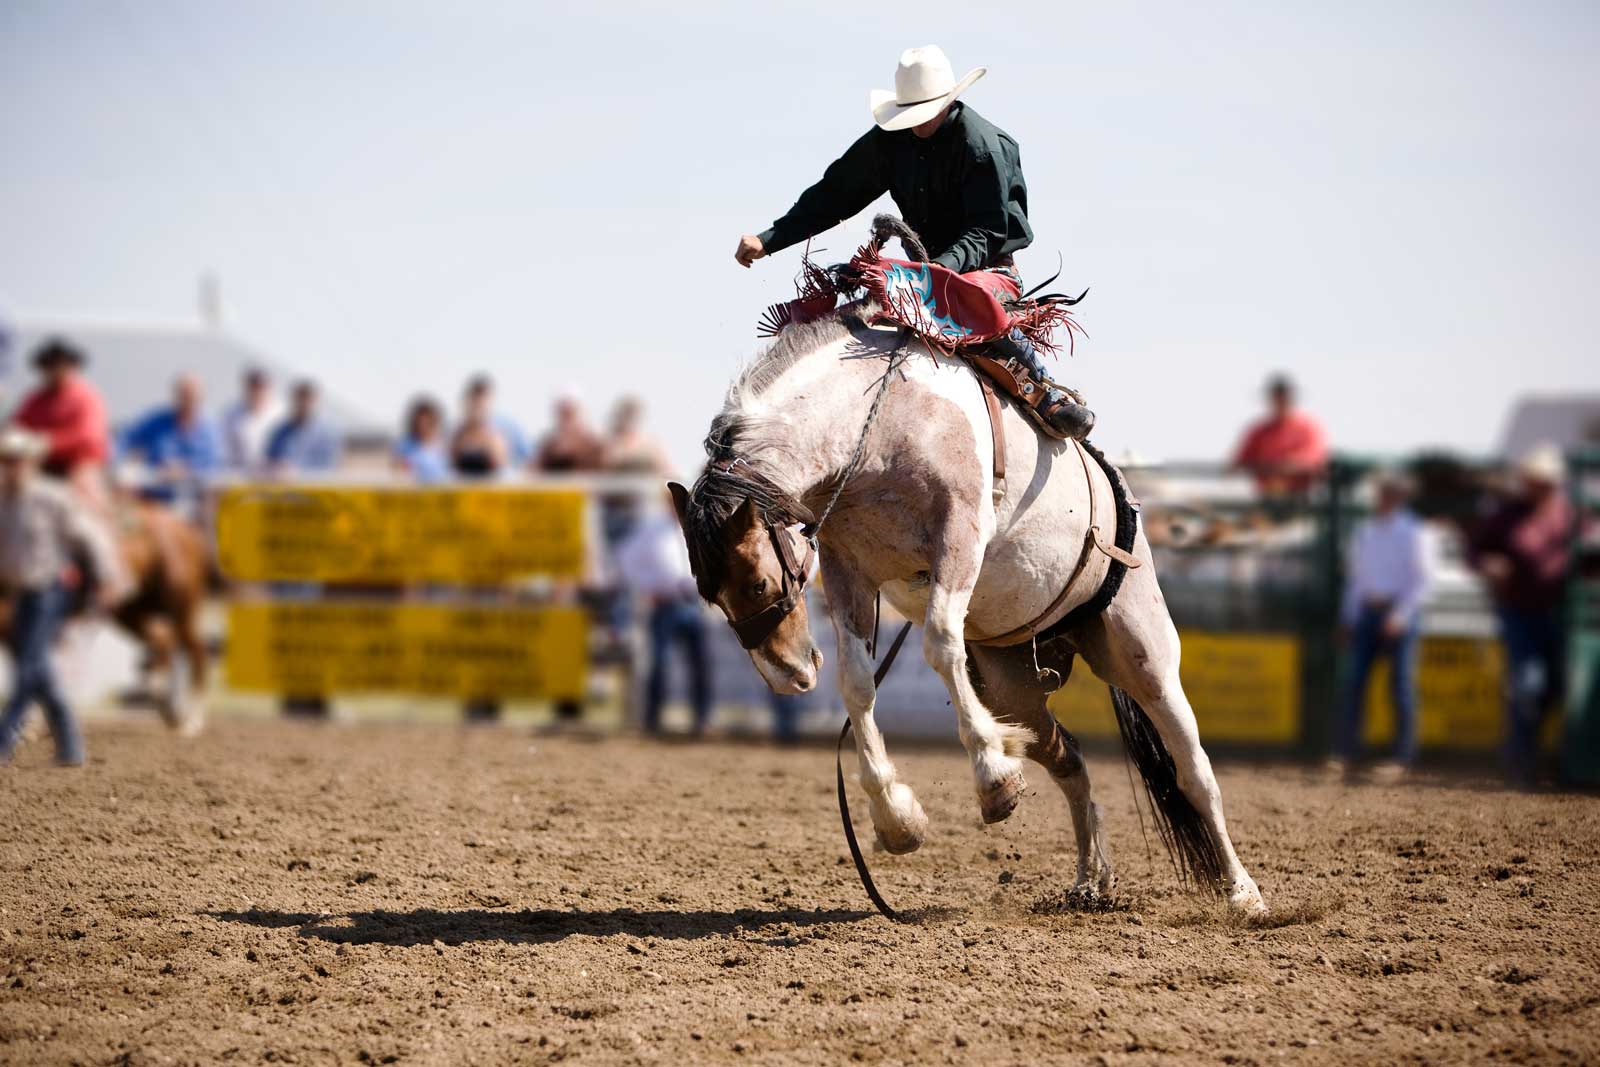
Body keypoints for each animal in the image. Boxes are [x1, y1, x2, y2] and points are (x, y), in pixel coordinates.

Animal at [668, 235, 1267, 921]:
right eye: (710, 596)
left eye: (760, 585)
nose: (787, 675)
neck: (877, 420)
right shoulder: (848, 568)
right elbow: (856, 683)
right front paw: (897, 818)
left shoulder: (959, 532)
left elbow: (938, 643)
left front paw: (994, 779)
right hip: (1013, 681)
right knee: (1069, 757)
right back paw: (1092, 880)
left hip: (1141, 650)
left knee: (1194, 770)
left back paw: (1243, 892)